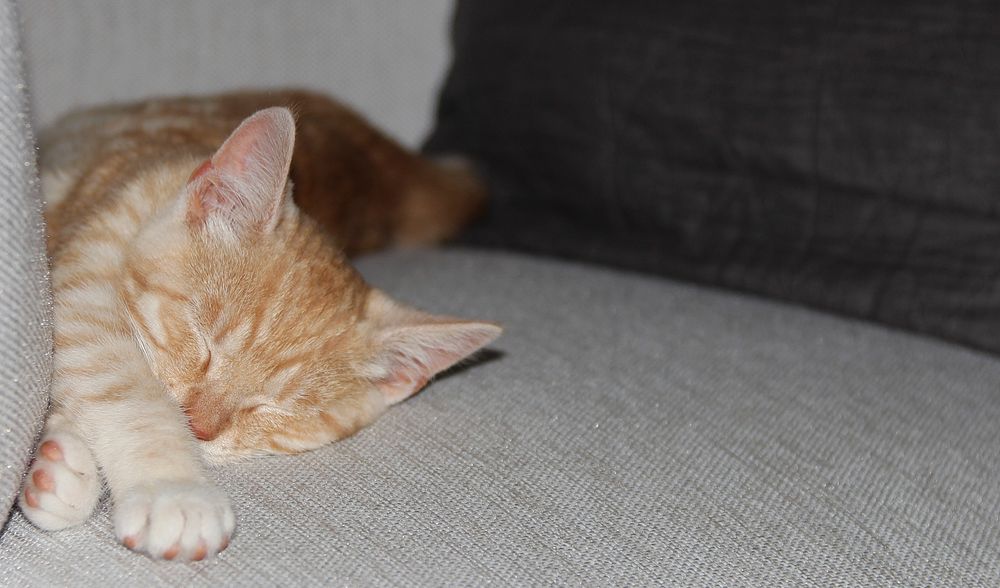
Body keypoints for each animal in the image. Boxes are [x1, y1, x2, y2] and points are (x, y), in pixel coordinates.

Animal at [15, 90, 500, 560]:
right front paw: (174, 490)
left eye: (274, 407)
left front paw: (60, 466)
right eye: (203, 342)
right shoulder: (83, 284)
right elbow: (124, 387)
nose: (198, 428)